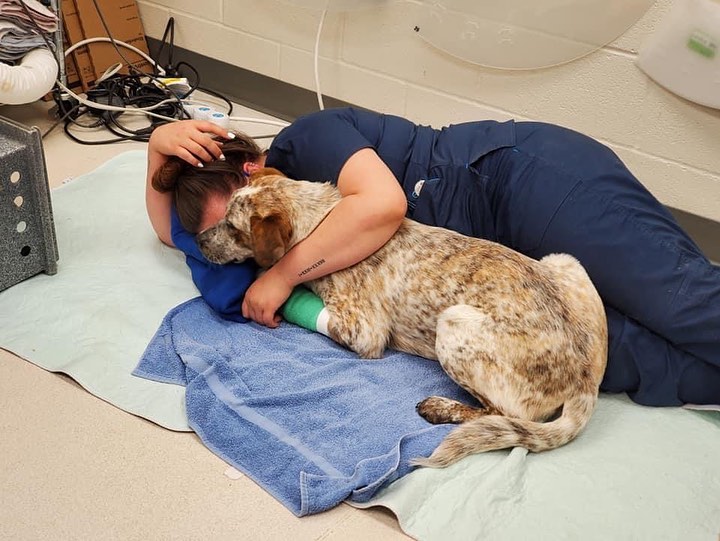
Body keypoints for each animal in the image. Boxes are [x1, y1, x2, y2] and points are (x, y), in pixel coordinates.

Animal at [195, 169, 608, 468]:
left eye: (232, 227)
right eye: (225, 215)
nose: (199, 240)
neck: (322, 221)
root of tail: (585, 382)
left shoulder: (362, 330)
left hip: (453, 324)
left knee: (506, 415)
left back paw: (441, 408)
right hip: (564, 260)